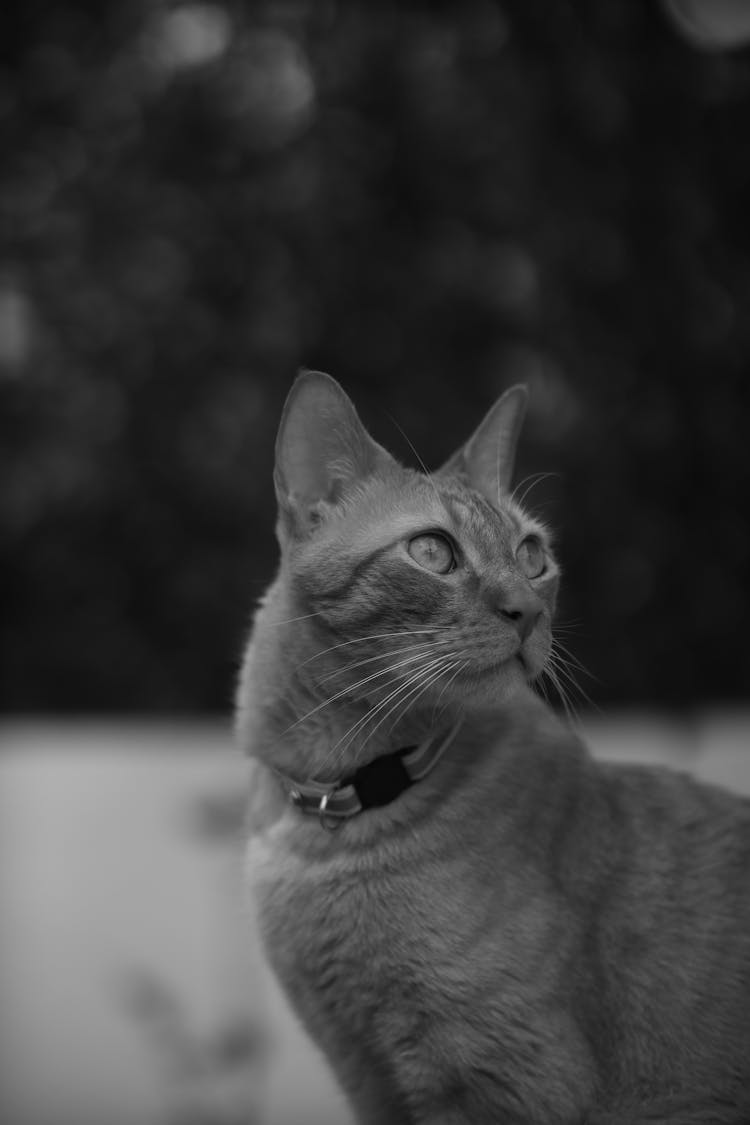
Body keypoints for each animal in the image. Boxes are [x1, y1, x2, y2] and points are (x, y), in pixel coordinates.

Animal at [236, 373, 750, 1120]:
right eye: (432, 551)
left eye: (531, 556)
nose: (528, 612)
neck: (338, 814)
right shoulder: (365, 1075)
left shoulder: (499, 1081)